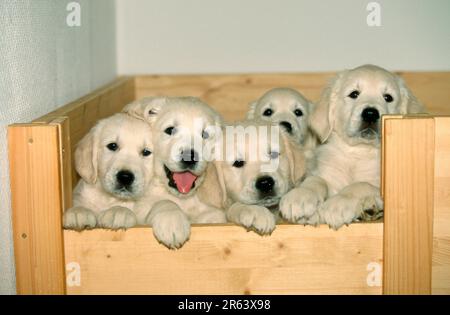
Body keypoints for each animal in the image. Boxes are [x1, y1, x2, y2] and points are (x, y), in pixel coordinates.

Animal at [123, 97, 227, 251]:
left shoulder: (214, 212)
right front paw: (171, 221)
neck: (182, 198)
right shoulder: (142, 208)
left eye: (205, 135)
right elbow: (164, 202)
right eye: (170, 130)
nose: (189, 157)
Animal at [282, 65, 426, 231]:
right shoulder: (329, 173)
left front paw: (337, 205)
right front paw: (300, 197)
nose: (370, 113)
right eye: (354, 94)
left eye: (388, 97)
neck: (359, 152)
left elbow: (360, 184)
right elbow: (316, 179)